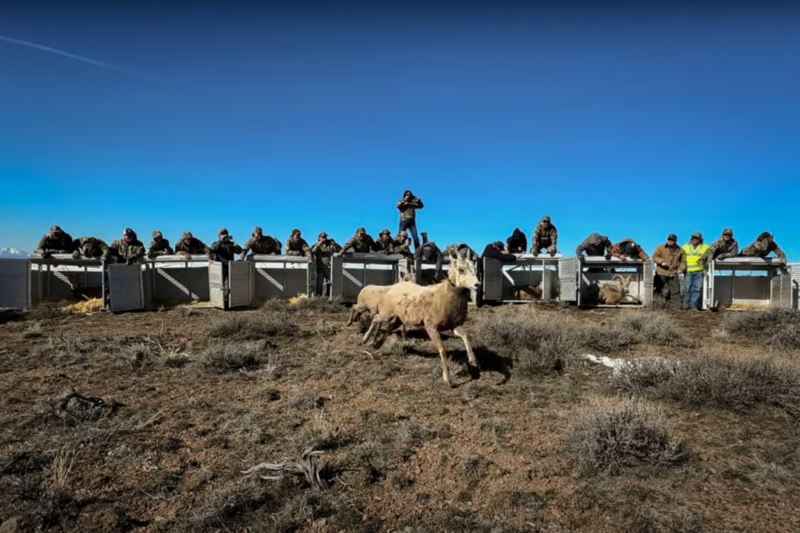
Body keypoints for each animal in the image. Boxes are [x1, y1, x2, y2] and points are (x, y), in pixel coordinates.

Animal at [364, 250, 481, 387]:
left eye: (474, 268)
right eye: (461, 269)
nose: (477, 284)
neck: (445, 296)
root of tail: (393, 287)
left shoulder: (454, 325)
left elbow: (465, 336)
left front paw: (473, 361)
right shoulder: (431, 327)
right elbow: (443, 350)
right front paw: (447, 379)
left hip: (399, 318)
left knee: (388, 327)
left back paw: (376, 344)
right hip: (387, 313)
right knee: (376, 318)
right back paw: (365, 339)